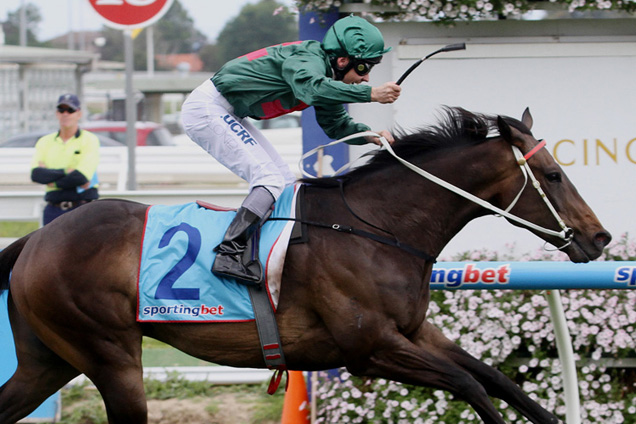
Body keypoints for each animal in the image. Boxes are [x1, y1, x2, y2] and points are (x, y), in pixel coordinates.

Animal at [0, 107, 612, 422]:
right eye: (554, 175)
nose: (599, 237)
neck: (378, 227)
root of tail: (36, 239)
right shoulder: (369, 349)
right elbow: (471, 385)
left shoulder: (414, 332)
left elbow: (497, 379)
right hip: (111, 356)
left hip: (49, 361)